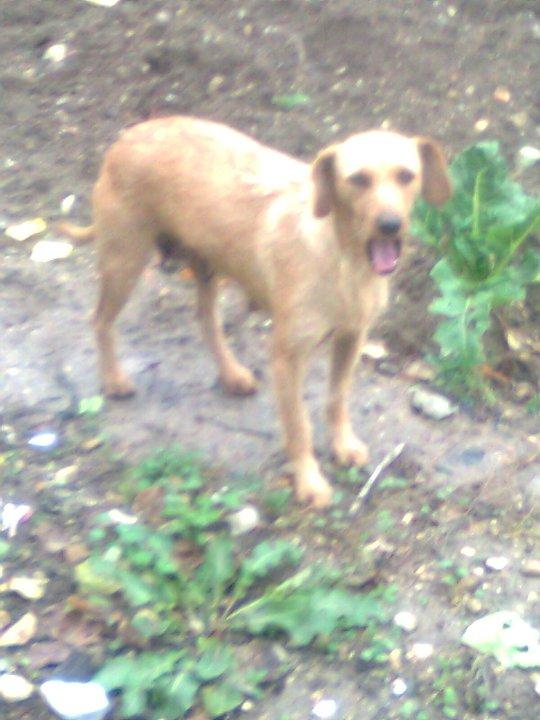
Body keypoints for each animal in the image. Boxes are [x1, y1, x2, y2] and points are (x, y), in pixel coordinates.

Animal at [60, 116, 452, 506]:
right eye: (357, 179)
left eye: (406, 175)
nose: (390, 225)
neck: (344, 261)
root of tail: (128, 136)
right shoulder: (286, 358)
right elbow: (298, 426)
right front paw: (308, 481)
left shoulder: (352, 338)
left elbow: (337, 399)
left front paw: (342, 445)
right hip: (124, 261)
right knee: (100, 320)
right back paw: (114, 379)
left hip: (206, 265)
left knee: (205, 319)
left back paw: (231, 374)